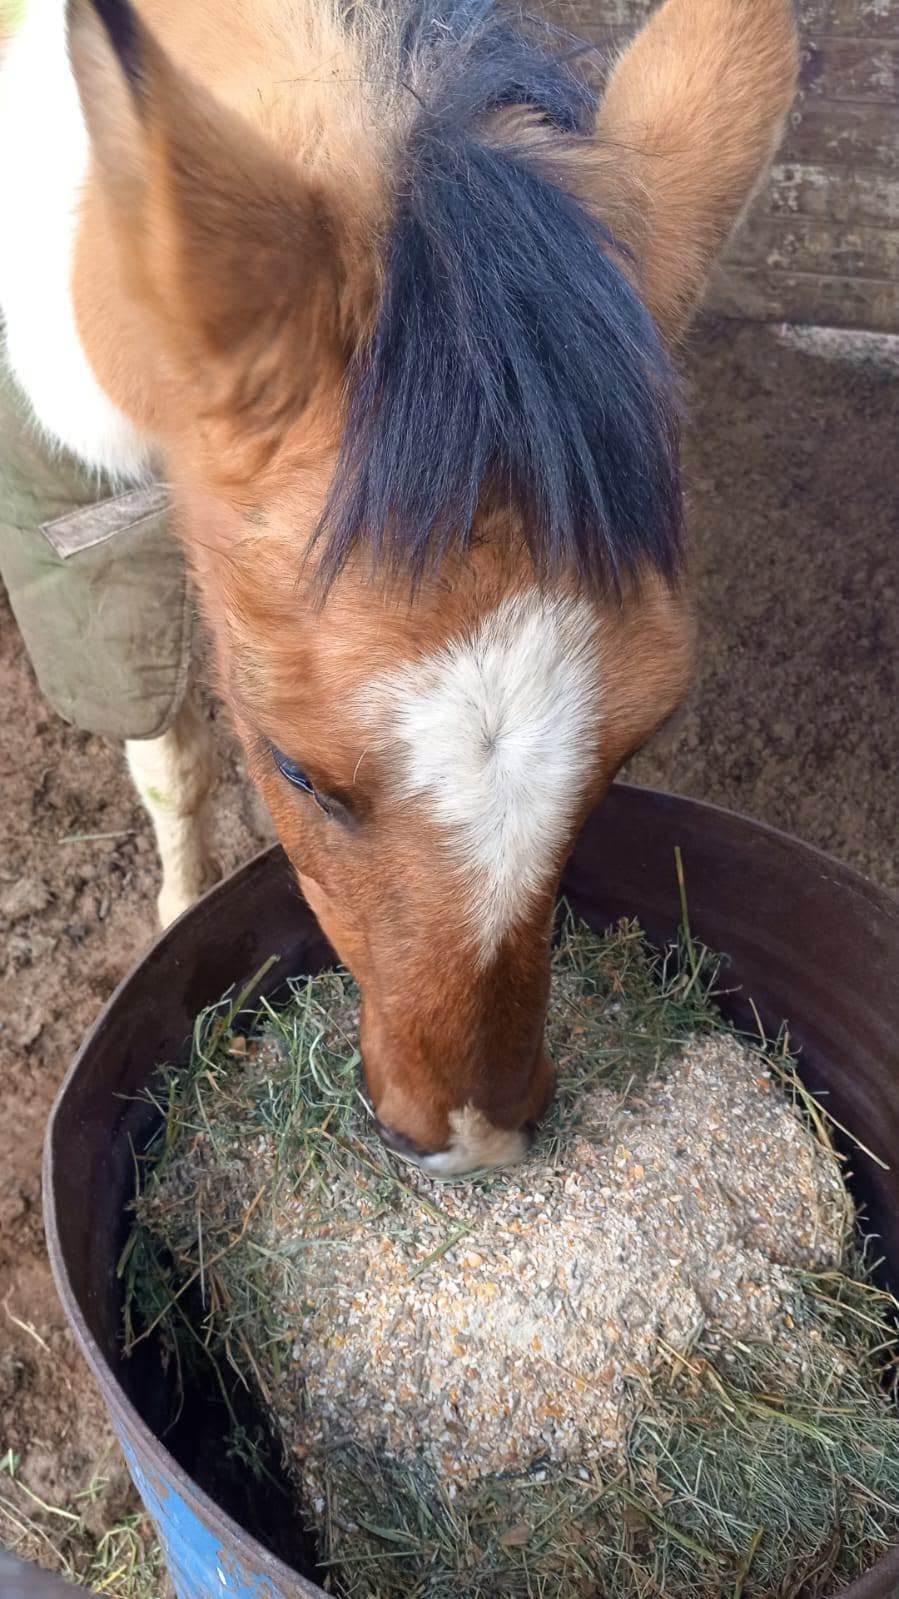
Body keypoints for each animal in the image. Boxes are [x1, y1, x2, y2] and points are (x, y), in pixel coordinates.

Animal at [0, 0, 797, 1173]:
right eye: (295, 768)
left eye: (632, 746)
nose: (474, 1138)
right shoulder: (67, 529)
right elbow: (169, 761)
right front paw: (174, 913)